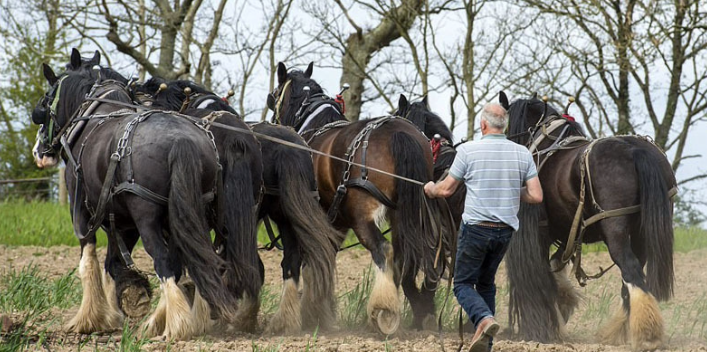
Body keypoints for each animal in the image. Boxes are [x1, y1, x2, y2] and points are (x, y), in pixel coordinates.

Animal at [32, 58, 254, 340]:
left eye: (47, 99)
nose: (39, 152)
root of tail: (181, 141)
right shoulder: (122, 222)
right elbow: (113, 264)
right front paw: (115, 312)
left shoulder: (81, 213)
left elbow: (89, 262)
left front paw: (88, 319)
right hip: (191, 215)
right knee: (197, 260)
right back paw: (172, 319)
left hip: (147, 217)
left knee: (165, 262)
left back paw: (174, 325)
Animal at [268, 61, 450, 332]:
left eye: (274, 96)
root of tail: (400, 133)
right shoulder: (335, 222)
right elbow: (323, 259)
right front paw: (320, 312)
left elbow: (301, 262)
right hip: (405, 213)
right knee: (407, 257)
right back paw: (418, 310)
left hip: (362, 215)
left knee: (383, 250)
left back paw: (383, 311)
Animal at [498, 91, 676, 350]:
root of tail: (635, 150)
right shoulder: (566, 233)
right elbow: (555, 265)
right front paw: (563, 305)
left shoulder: (540, 231)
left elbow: (543, 274)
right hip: (642, 231)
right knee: (632, 277)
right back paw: (617, 332)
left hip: (615, 230)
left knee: (631, 270)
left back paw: (647, 335)